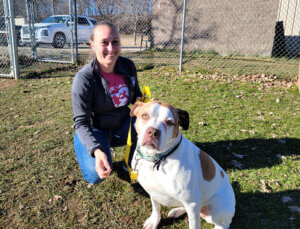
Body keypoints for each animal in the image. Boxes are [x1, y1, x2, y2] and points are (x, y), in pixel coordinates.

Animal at [130, 101, 236, 229]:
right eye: (145, 115)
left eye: (169, 122)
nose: (153, 132)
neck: (157, 159)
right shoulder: (152, 191)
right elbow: (156, 207)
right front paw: (154, 221)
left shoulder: (191, 202)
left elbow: (194, 225)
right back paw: (177, 211)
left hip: (216, 210)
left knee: (222, 224)